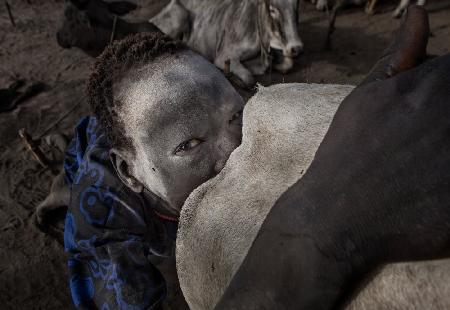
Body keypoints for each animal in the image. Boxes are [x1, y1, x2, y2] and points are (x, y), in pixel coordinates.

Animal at [149, 0, 304, 86]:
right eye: (272, 9)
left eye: (297, 5)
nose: (296, 47)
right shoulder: (225, 55)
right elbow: (249, 79)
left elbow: (287, 63)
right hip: (178, 18)